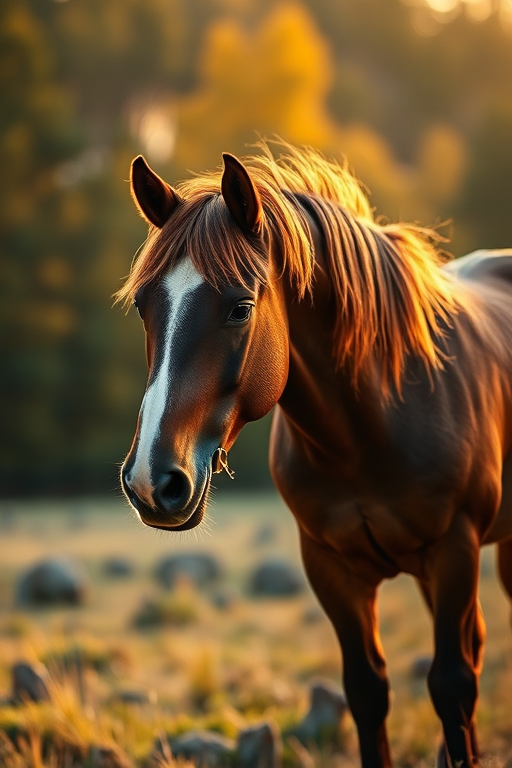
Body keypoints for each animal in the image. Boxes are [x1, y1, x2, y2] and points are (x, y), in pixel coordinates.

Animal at [117, 140, 512, 768]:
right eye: (144, 307)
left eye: (240, 308)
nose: (153, 482)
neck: (371, 426)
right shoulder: (330, 566)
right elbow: (367, 690)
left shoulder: (455, 548)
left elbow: (453, 686)